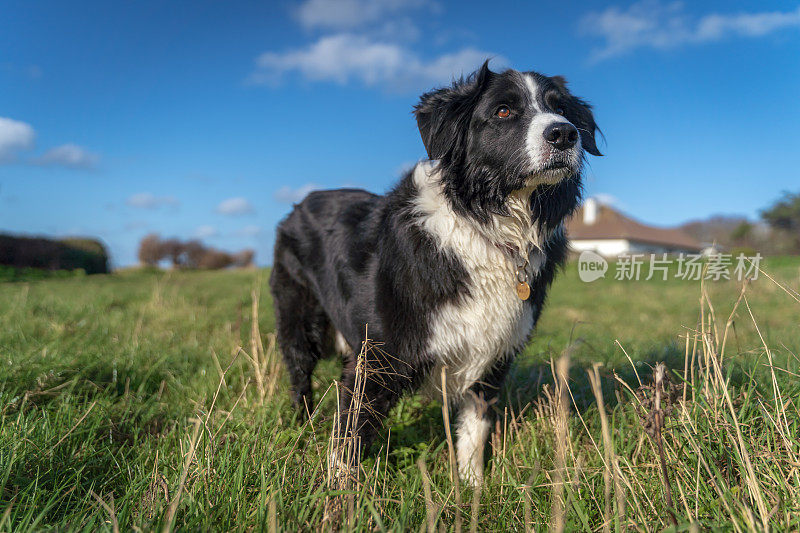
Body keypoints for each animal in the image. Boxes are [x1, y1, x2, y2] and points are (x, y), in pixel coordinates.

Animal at [270, 61, 600, 482]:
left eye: (560, 108)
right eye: (503, 111)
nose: (564, 133)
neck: (488, 224)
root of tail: (301, 203)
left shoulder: (493, 356)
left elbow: (474, 430)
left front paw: (473, 486)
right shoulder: (377, 359)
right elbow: (351, 434)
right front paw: (338, 492)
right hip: (300, 317)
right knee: (299, 374)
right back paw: (302, 425)